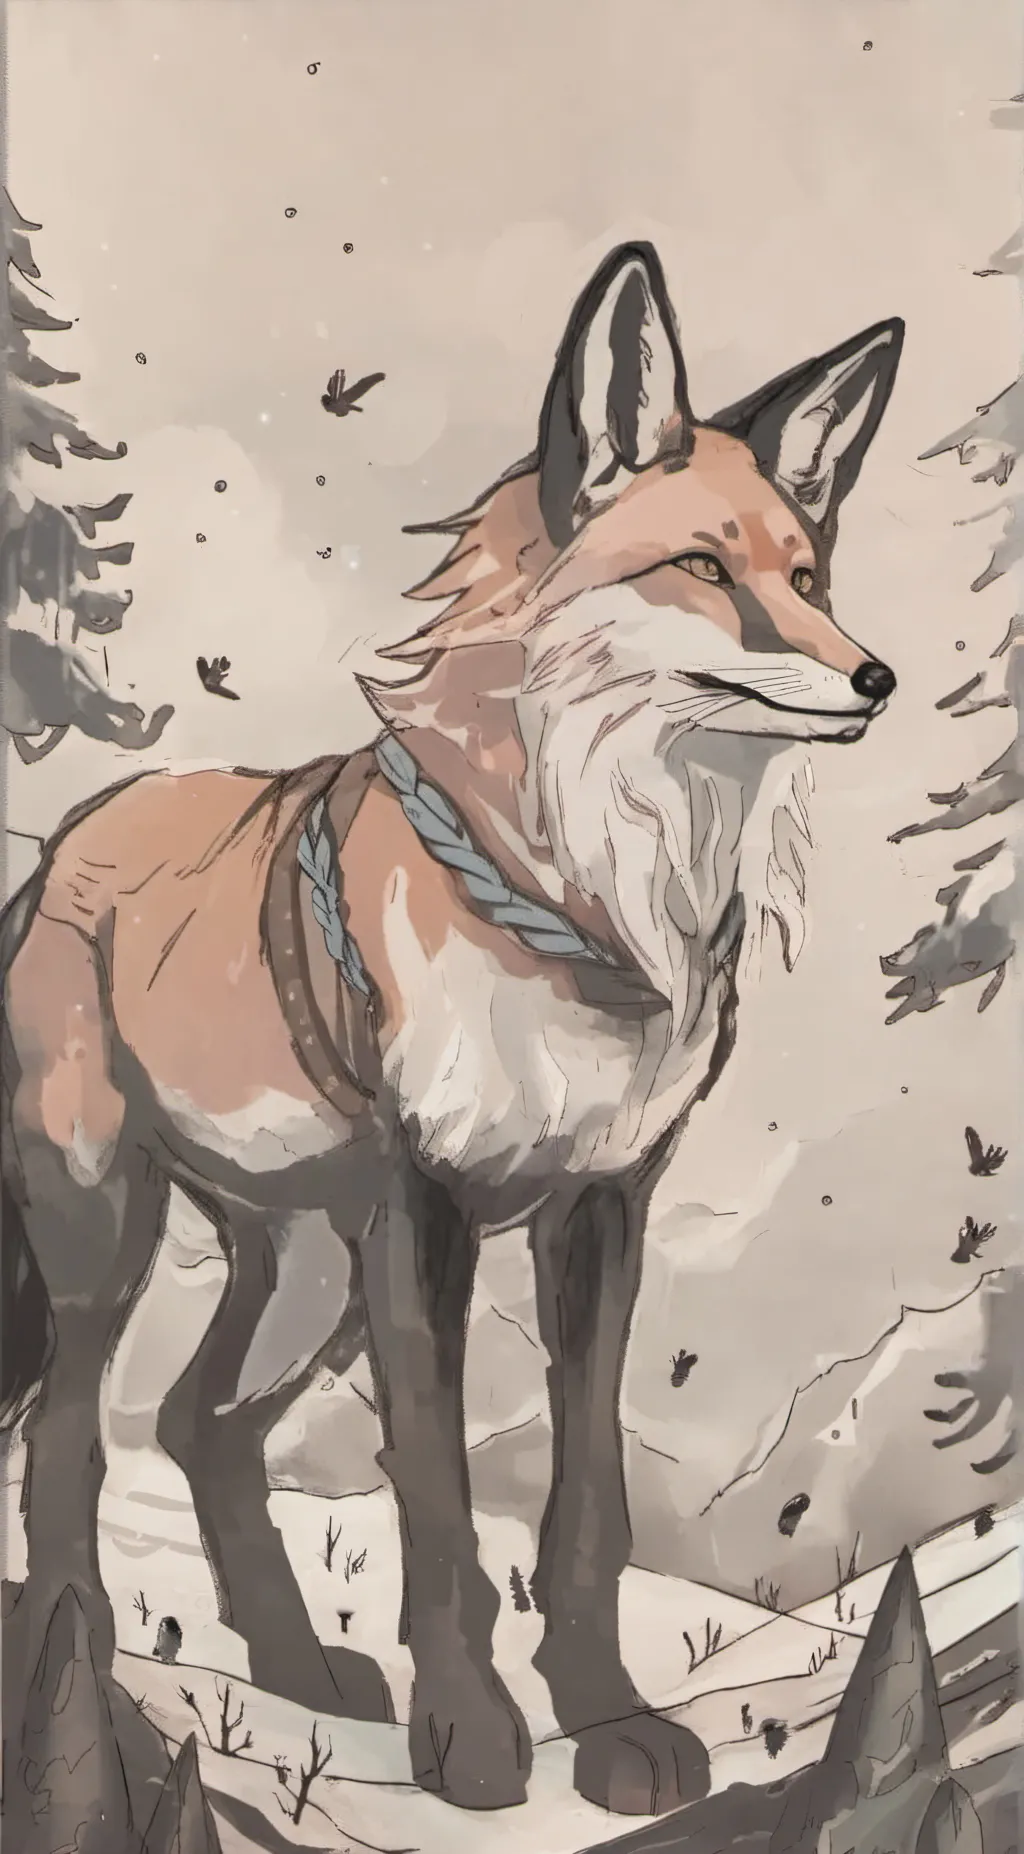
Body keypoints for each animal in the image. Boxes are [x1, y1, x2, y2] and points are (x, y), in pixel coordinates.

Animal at [0, 242, 902, 1829]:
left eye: (809, 578)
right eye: (704, 570)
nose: (874, 679)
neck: (585, 912)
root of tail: (66, 845)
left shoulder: (599, 1210)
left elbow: (589, 1509)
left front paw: (611, 1727)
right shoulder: (425, 1212)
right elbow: (438, 1510)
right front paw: (473, 1741)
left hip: (309, 1269)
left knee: (199, 1425)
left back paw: (298, 1671)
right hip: (122, 1230)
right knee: (70, 1432)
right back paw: (76, 1662)